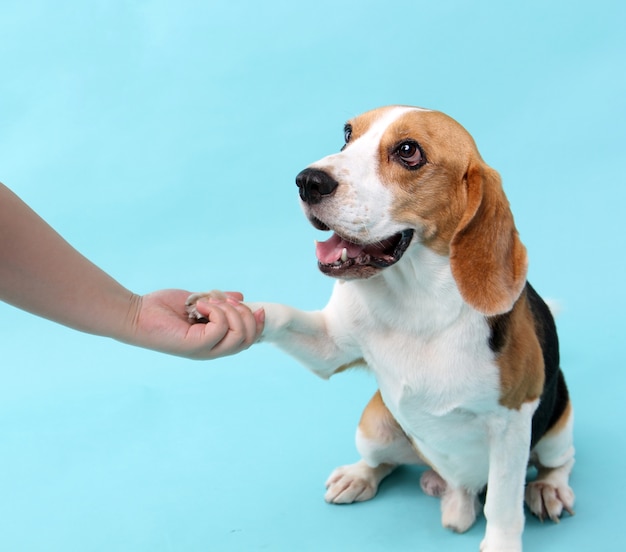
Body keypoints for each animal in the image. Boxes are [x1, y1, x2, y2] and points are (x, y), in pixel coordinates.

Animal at [188, 105, 572, 548]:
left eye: (408, 151)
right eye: (346, 134)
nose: (307, 181)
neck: (418, 301)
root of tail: (455, 488)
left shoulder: (512, 424)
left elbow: (503, 507)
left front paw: (501, 544)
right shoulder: (330, 349)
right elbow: (280, 315)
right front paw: (226, 310)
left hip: (558, 423)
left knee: (557, 462)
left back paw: (548, 488)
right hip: (374, 425)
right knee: (382, 461)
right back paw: (359, 476)